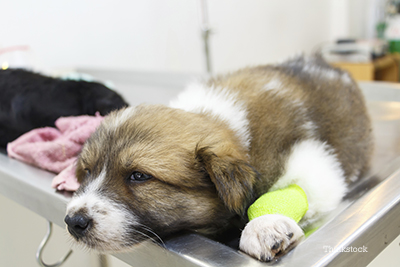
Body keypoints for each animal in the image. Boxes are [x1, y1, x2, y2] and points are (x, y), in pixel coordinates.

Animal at [64, 55, 374, 262]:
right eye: (88, 171)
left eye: (139, 176)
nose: (73, 221)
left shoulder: (314, 159)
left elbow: (296, 188)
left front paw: (266, 225)